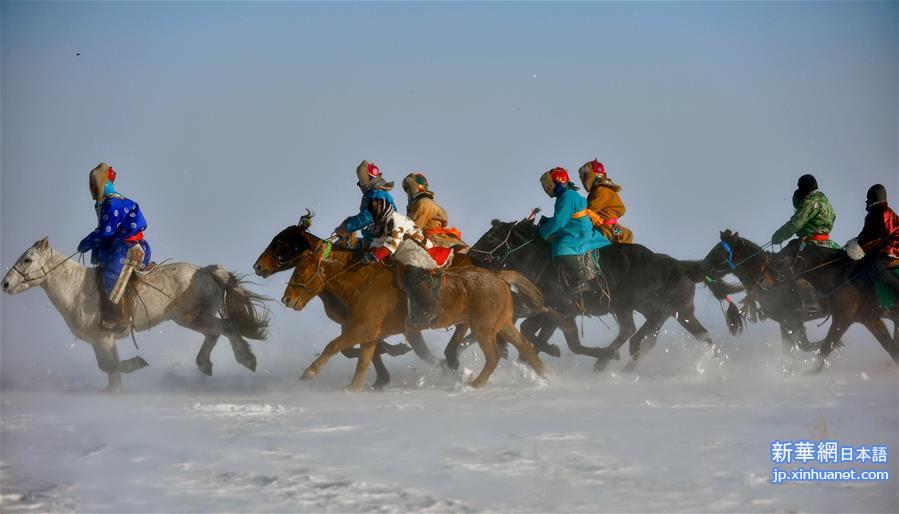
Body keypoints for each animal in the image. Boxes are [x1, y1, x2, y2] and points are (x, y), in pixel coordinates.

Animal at [3, 238, 270, 390]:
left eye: (28, 259)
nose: (5, 284)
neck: (77, 289)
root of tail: (206, 271)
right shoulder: (100, 341)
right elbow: (107, 366)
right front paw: (114, 388)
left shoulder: (103, 339)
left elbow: (109, 366)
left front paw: (123, 379)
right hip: (194, 318)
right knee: (215, 333)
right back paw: (205, 364)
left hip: (193, 318)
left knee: (227, 327)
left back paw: (247, 359)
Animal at [282, 226, 548, 390]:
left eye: (302, 270)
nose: (287, 299)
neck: (360, 281)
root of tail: (499, 277)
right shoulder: (370, 334)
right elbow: (364, 360)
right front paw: (354, 388)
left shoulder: (362, 329)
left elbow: (334, 346)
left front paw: (309, 373)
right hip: (502, 325)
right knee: (526, 348)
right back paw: (546, 376)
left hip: (483, 328)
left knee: (493, 357)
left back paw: (473, 384)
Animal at [460, 218, 740, 370]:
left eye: (492, 237)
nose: (471, 255)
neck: (541, 261)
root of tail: (681, 266)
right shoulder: (552, 312)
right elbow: (534, 332)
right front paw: (534, 354)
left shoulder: (562, 310)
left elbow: (559, 339)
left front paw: (549, 351)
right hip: (679, 312)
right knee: (699, 336)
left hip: (639, 306)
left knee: (634, 332)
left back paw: (608, 360)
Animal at [768, 238, 899, 370]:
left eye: (781, 259)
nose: (765, 281)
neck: (841, 278)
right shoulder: (869, 319)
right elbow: (891, 348)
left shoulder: (843, 319)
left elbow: (824, 349)